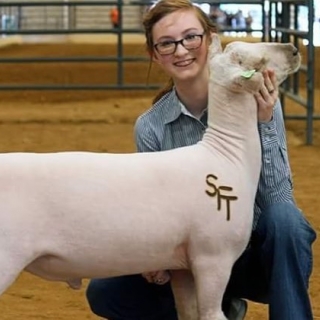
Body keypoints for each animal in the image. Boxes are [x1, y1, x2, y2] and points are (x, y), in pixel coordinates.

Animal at [0, 35, 300, 320]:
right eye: (255, 62)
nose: (294, 50)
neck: (227, 154)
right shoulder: (213, 256)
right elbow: (211, 314)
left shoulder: (183, 267)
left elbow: (188, 313)